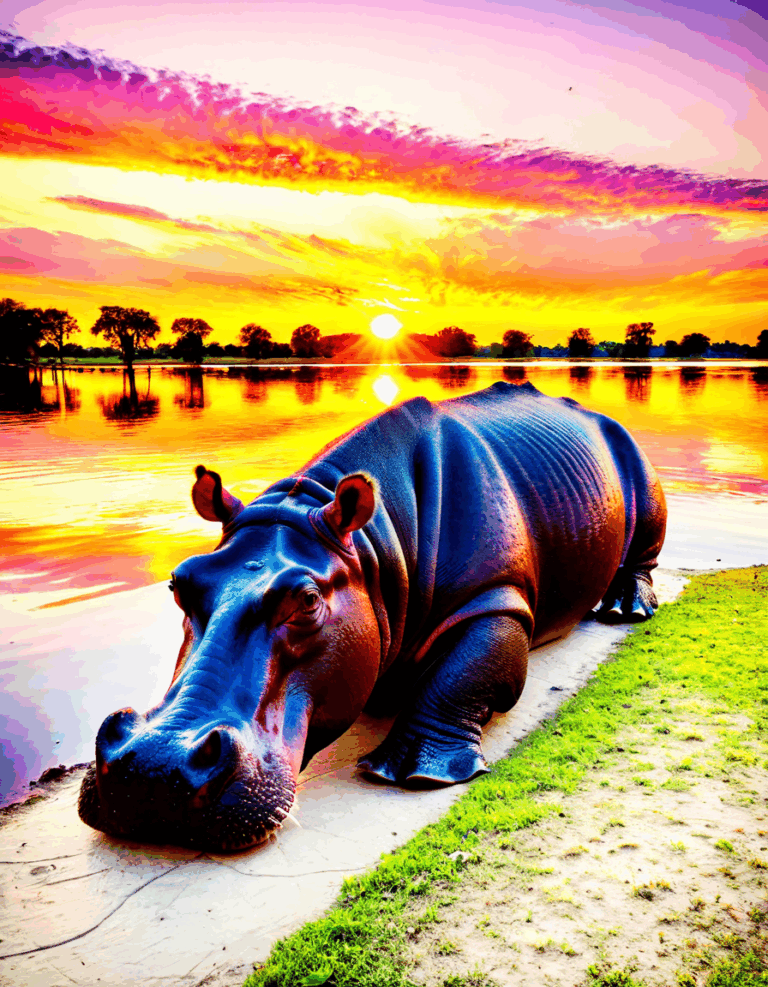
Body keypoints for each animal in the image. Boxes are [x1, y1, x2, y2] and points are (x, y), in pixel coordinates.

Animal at [78, 381, 666, 851]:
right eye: (179, 582)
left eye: (307, 600)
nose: (152, 770)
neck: (372, 550)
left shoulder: (495, 597)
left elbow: (464, 674)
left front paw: (412, 775)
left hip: (633, 455)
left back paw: (625, 610)